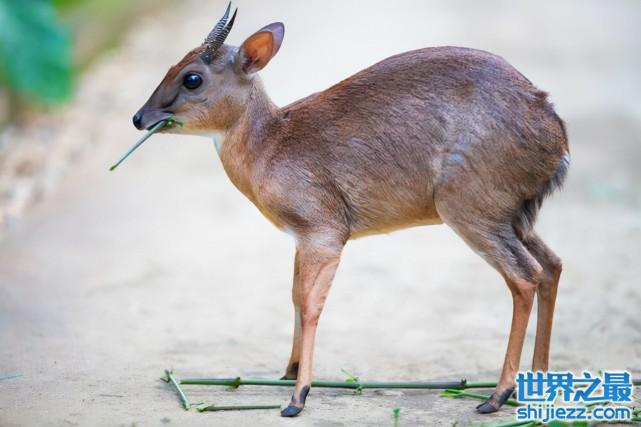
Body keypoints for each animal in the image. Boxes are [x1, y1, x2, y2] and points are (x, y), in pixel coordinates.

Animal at [130, 3, 564, 418]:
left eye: (192, 77)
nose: (139, 117)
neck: (272, 143)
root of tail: (553, 127)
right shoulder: (300, 239)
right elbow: (294, 295)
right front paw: (288, 372)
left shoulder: (325, 233)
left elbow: (310, 305)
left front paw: (297, 397)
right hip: (513, 217)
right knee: (552, 265)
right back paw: (537, 383)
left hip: (471, 211)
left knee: (525, 276)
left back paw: (496, 395)